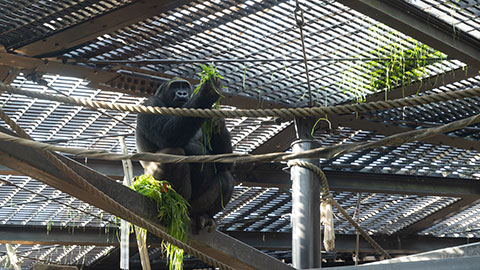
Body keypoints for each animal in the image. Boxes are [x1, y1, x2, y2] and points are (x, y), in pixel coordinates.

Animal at [135, 76, 234, 232]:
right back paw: (174, 203)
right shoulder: (150, 104)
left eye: (185, 87)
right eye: (175, 86)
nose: (182, 93)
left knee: (225, 177)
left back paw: (203, 215)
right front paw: (208, 93)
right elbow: (166, 136)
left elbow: (225, 162)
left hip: (194, 207)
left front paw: (218, 121)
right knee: (172, 153)